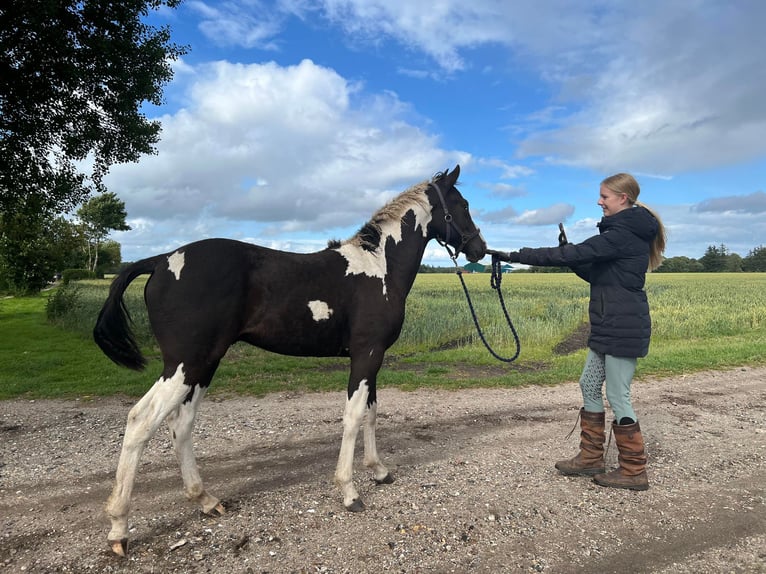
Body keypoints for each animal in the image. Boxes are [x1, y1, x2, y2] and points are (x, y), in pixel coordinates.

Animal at [94, 164, 486, 556]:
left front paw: (379, 471)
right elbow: (354, 416)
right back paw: (119, 528)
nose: (479, 249)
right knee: (141, 421)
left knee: (182, 423)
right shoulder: (366, 355)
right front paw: (349, 492)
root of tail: (161, 260)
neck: (379, 267)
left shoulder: (374, 358)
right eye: (463, 204)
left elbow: (371, 413)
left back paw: (205, 500)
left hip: (204, 365)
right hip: (184, 365)